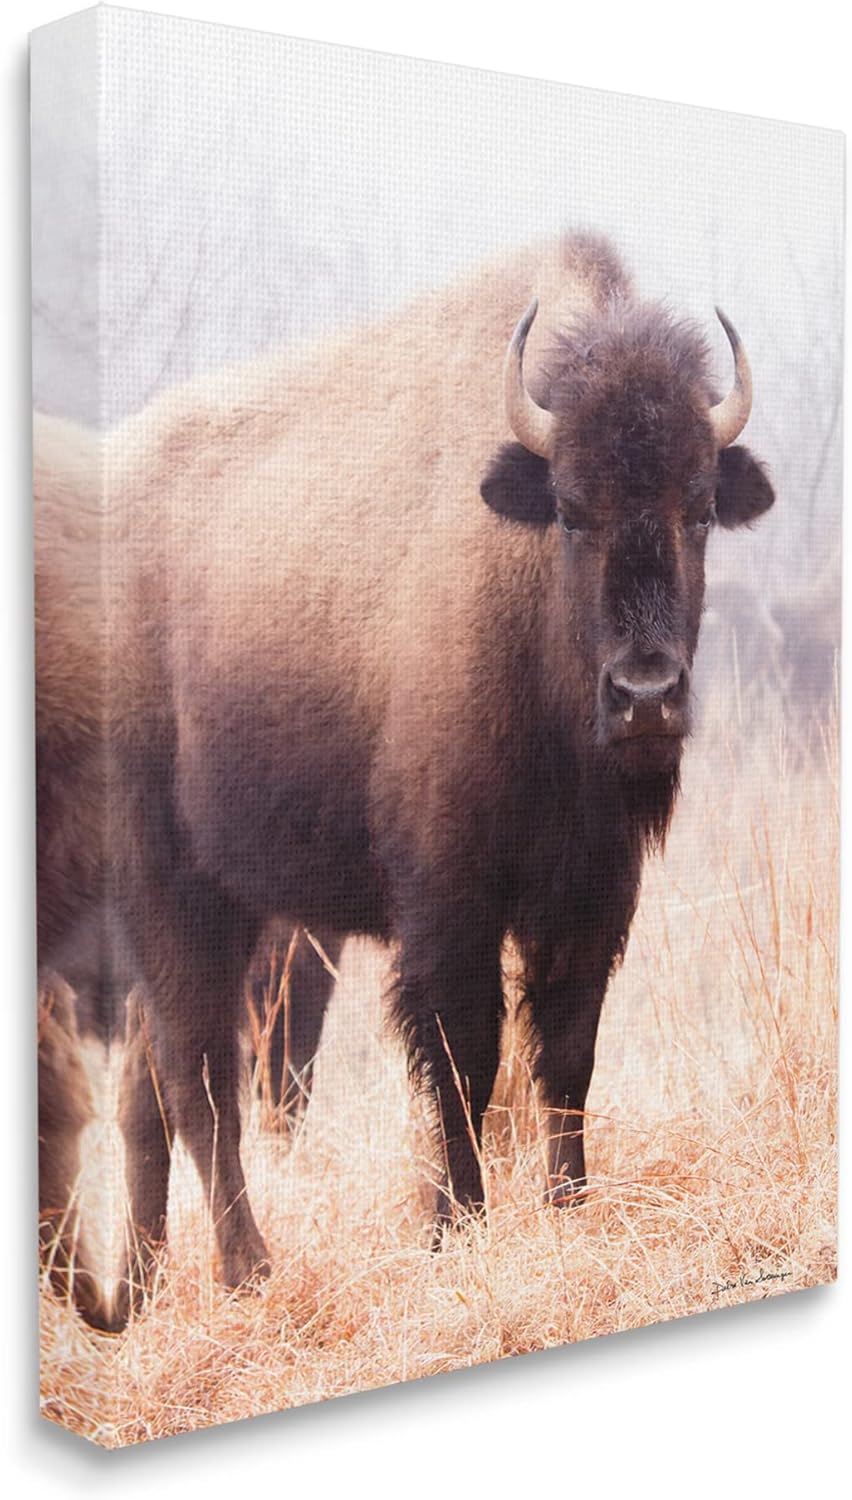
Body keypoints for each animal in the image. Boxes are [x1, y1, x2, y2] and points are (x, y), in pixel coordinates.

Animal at [36, 231, 774, 1327]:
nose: (646, 696)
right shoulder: (446, 903)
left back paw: (154, 1289)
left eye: (701, 508)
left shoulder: (590, 898)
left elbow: (566, 1052)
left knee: (155, 1091)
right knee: (198, 1076)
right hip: (170, 891)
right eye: (570, 510)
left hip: (238, 905)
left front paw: (569, 1212)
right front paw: (454, 1224)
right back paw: (248, 1271)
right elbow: (463, 1057)